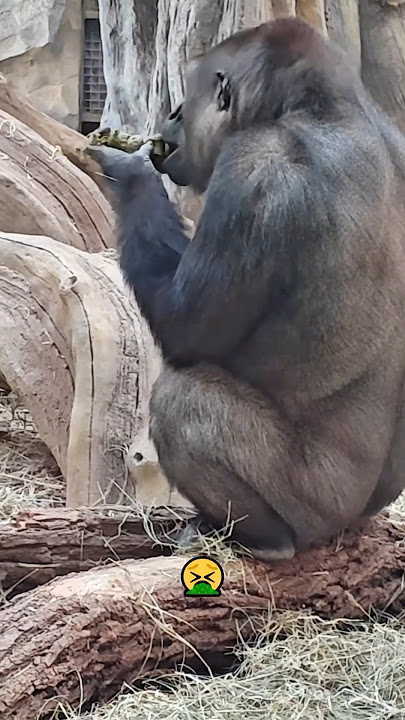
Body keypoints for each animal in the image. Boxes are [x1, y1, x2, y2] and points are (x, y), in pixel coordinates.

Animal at [89, 18, 405, 561]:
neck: (322, 107)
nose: (174, 113)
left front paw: (130, 173)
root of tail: (348, 521)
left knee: (183, 399)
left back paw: (261, 538)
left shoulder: (254, 167)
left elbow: (185, 330)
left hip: (316, 509)